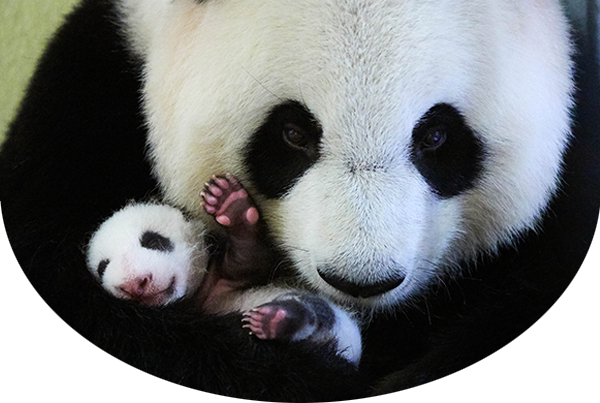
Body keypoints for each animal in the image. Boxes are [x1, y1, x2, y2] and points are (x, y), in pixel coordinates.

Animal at [1, 0, 600, 403]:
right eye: (293, 133)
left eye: (435, 136)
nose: (361, 281)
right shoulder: (88, 96)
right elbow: (65, 323)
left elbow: (542, 330)